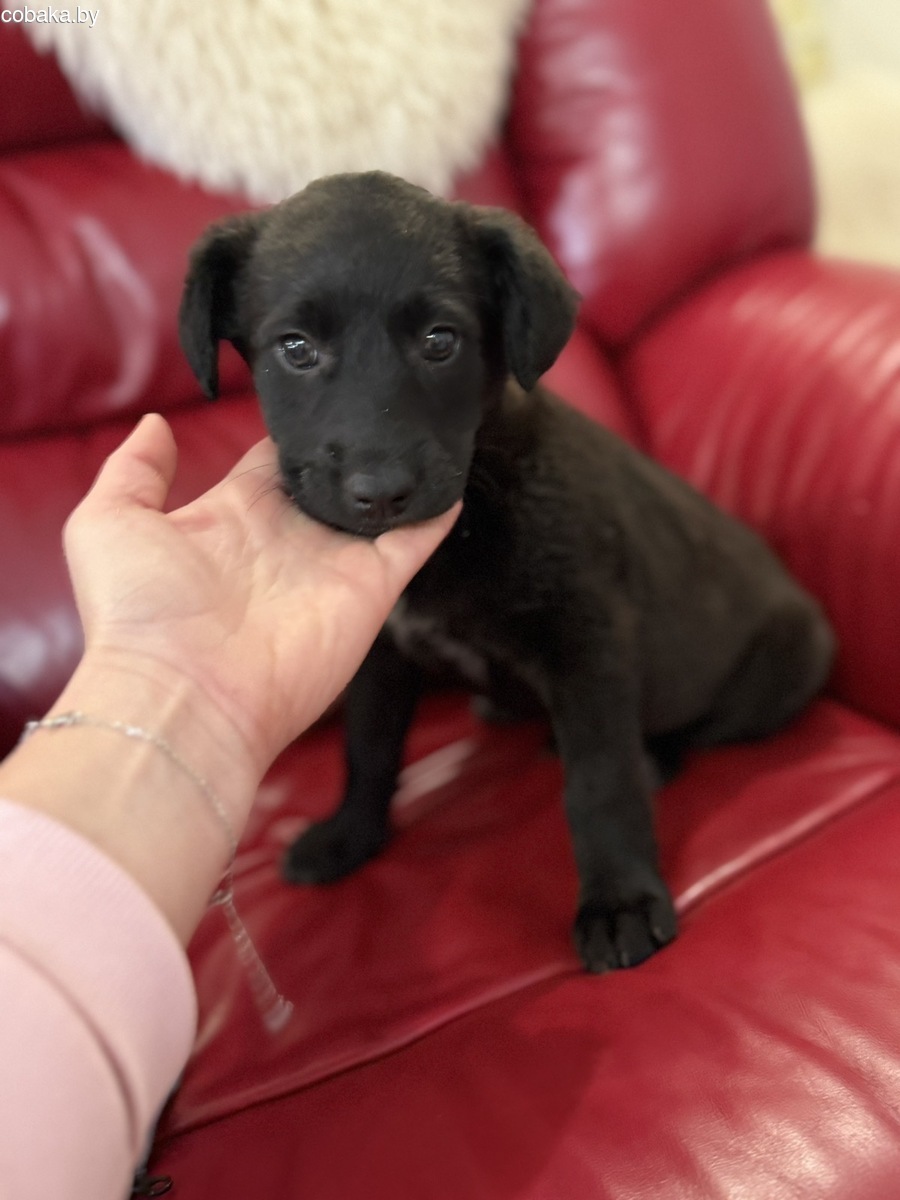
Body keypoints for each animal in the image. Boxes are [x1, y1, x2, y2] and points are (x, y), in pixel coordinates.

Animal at [179, 171, 835, 972]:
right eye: (295, 349)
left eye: (441, 340)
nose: (381, 493)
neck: (463, 531)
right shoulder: (381, 656)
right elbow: (367, 748)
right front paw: (350, 836)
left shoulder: (589, 645)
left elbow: (600, 783)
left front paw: (619, 899)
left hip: (785, 665)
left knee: (697, 729)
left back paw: (653, 755)